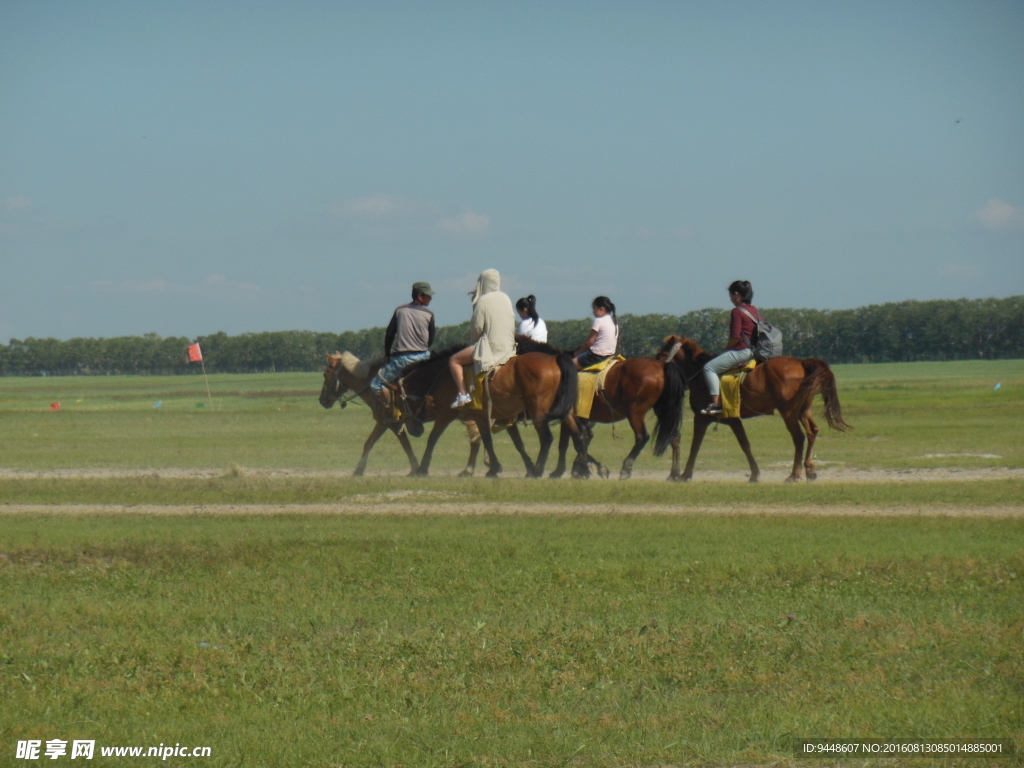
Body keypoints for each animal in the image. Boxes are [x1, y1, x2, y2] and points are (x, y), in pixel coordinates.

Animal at [516, 337, 684, 479]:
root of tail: (662, 366)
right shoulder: (579, 418)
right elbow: (580, 439)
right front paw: (583, 468)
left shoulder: (570, 416)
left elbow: (570, 442)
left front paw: (567, 470)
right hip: (663, 410)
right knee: (674, 436)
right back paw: (674, 473)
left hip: (635, 412)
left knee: (642, 437)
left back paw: (626, 467)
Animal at [659, 335, 851, 483]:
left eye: (663, 352)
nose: (657, 364)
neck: (700, 374)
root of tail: (801, 363)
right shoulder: (733, 419)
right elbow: (745, 444)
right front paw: (755, 474)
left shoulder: (702, 417)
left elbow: (695, 445)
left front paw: (684, 475)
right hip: (803, 411)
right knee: (813, 432)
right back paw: (809, 469)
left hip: (788, 412)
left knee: (798, 437)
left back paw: (794, 474)